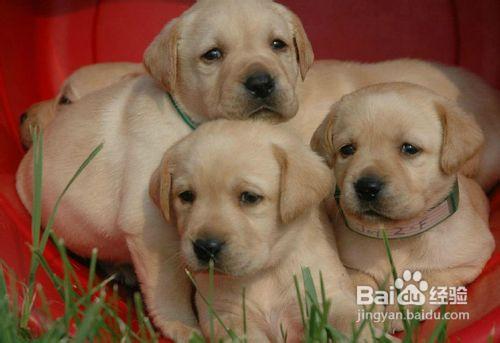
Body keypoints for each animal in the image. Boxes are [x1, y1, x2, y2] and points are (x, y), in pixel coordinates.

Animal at [150, 120, 358, 342]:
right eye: (186, 196)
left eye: (249, 197)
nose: (206, 248)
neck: (263, 273)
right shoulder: (225, 314)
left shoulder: (330, 293)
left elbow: (351, 321)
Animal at [310, 82, 494, 332]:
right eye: (347, 149)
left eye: (409, 149)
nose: (366, 187)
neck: (396, 235)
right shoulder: (351, 266)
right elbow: (361, 284)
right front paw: (370, 317)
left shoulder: (467, 261)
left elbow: (426, 279)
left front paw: (401, 311)